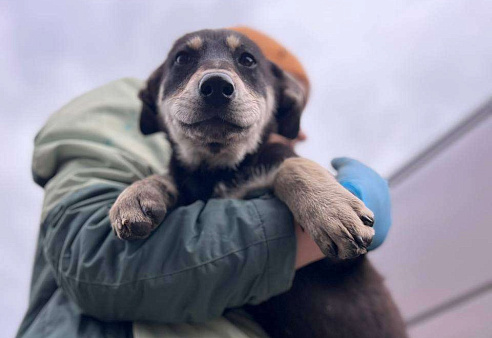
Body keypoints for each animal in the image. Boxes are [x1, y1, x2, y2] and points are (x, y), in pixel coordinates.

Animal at [108, 28, 408, 338]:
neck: (220, 170)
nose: (216, 86)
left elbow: (291, 164)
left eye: (247, 60)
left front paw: (330, 209)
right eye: (182, 58)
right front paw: (135, 195)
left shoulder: (338, 261)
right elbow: (169, 177)